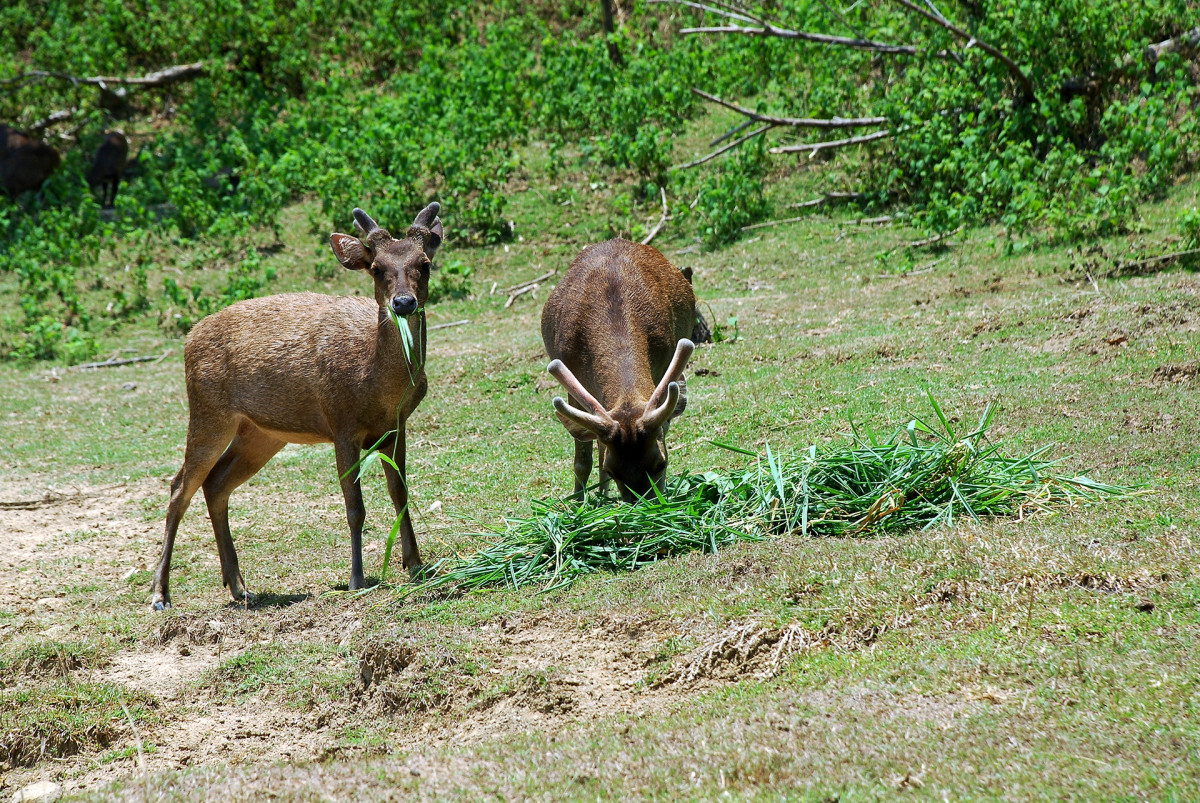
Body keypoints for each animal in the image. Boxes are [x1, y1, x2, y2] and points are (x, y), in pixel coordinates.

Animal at [152, 201, 444, 607]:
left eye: (425, 263)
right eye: (376, 267)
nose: (403, 302)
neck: (377, 385)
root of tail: (188, 339)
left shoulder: (396, 426)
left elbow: (400, 493)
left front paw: (415, 565)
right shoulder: (341, 423)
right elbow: (355, 507)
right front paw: (356, 578)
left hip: (261, 433)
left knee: (216, 483)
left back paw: (239, 586)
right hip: (208, 411)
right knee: (179, 486)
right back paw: (161, 593)